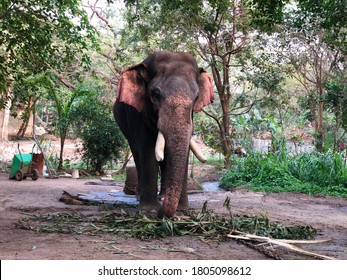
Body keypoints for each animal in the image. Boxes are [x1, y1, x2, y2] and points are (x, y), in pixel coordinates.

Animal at [114, 50, 215, 219]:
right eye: (155, 94)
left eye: (196, 97)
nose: (163, 214)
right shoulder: (138, 114)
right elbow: (148, 150)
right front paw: (149, 211)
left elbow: (183, 153)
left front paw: (182, 209)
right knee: (137, 153)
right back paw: (139, 197)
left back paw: (161, 197)